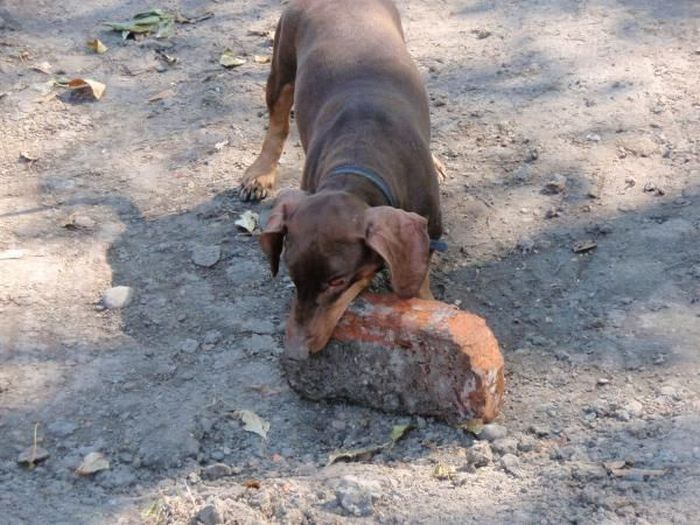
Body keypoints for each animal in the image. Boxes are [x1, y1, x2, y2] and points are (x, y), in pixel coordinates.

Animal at [241, 0, 442, 356]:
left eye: (337, 281)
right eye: (292, 275)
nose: (295, 352)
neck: (358, 162)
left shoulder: (430, 230)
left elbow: (419, 281)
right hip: (281, 63)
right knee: (277, 122)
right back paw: (260, 173)